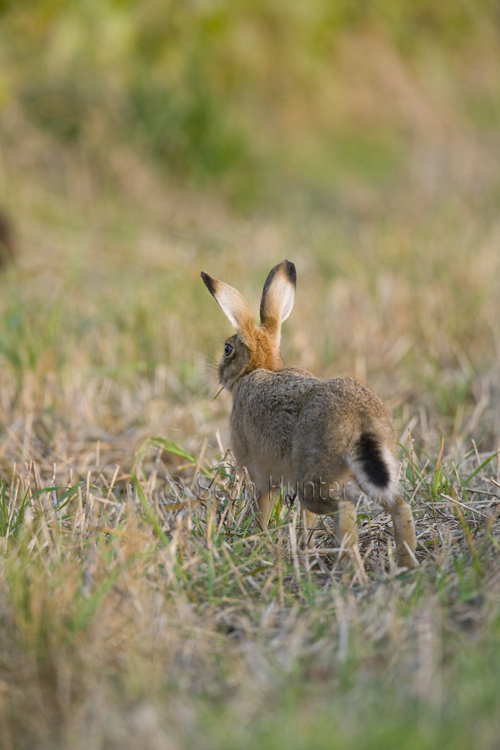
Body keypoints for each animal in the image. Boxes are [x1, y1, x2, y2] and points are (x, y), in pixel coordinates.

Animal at [201, 260, 416, 568]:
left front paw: (257, 542)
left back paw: (348, 569)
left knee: (344, 508)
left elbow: (262, 507)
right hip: (372, 468)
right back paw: (406, 566)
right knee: (399, 506)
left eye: (228, 349)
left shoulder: (259, 473)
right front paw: (304, 547)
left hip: (313, 478)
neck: (257, 370)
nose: (218, 372)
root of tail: (361, 422)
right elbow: (307, 522)